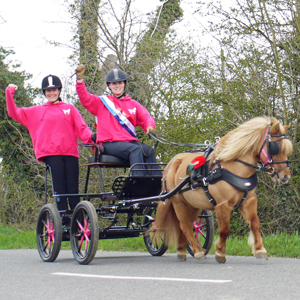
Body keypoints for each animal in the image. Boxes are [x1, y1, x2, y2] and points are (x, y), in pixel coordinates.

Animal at [155, 116, 292, 262]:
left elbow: (255, 224)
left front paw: (260, 250)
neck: (235, 168)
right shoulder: (223, 204)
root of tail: (170, 164)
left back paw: (182, 251)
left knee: (186, 225)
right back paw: (198, 251)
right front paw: (220, 253)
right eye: (276, 147)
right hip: (178, 202)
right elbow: (224, 230)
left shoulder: (249, 201)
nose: (286, 176)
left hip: (192, 205)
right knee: (185, 225)